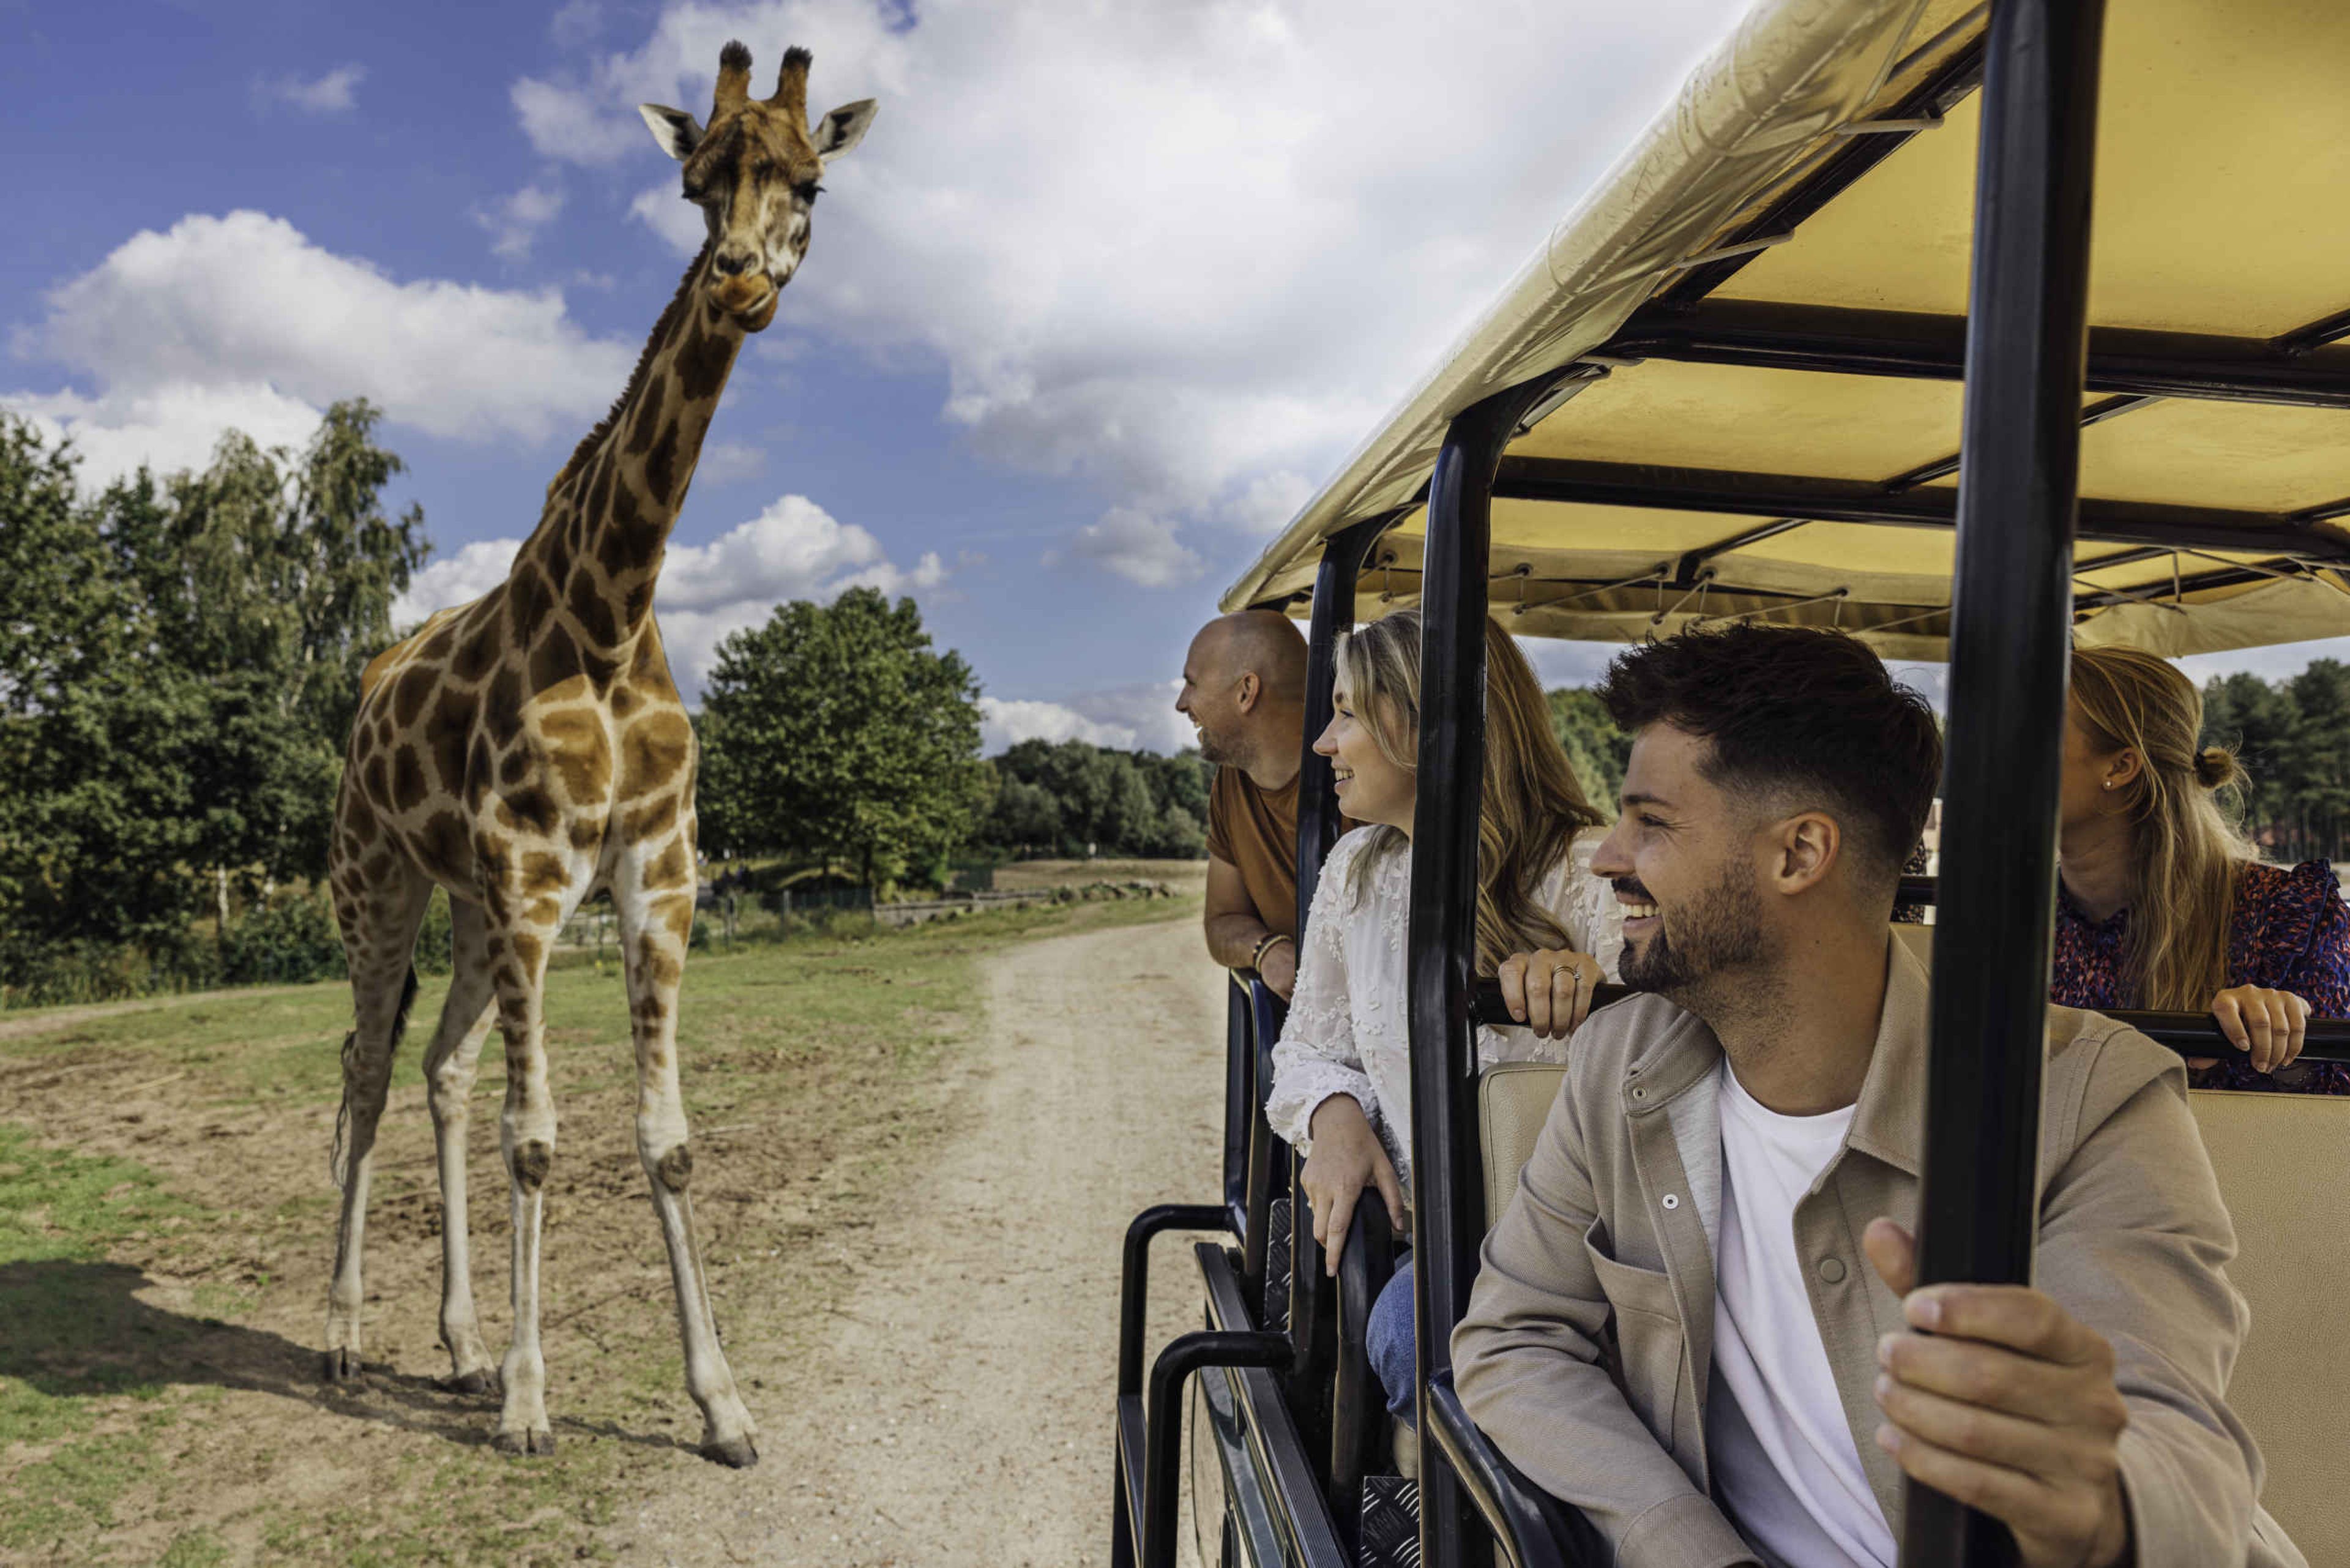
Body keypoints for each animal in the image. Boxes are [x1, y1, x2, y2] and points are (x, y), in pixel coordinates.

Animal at [319, 41, 876, 1465]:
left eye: (810, 184)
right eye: (692, 186)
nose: (738, 277)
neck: (612, 616)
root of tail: (365, 689)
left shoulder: (654, 871)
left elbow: (664, 1140)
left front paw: (722, 1403)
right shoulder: (530, 873)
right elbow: (537, 1140)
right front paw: (530, 1405)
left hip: (467, 912)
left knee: (440, 1069)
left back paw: (457, 1347)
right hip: (380, 882)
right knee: (364, 1070)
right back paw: (346, 1339)